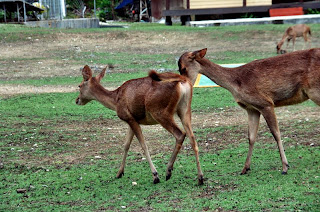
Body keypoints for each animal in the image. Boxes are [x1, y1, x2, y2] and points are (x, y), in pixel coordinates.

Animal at [76, 65, 204, 185]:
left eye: (79, 85)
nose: (77, 100)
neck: (115, 101)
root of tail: (183, 81)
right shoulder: (133, 120)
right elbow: (126, 145)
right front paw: (119, 173)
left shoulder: (129, 118)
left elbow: (143, 145)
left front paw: (155, 176)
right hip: (185, 109)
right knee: (192, 138)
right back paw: (200, 178)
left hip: (160, 111)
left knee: (180, 134)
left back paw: (168, 171)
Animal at [178, 48, 320, 176]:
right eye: (179, 68)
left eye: (183, 68)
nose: (185, 84)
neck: (236, 84)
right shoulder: (251, 109)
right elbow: (251, 137)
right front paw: (245, 169)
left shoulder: (266, 103)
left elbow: (276, 133)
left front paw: (285, 167)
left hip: (315, 91)